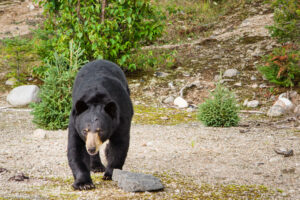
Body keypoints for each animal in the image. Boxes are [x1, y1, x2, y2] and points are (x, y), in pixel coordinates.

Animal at [68, 59, 134, 191]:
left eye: (100, 130)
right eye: (85, 130)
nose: (91, 148)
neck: (97, 99)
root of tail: (100, 60)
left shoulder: (121, 117)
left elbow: (119, 144)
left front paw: (110, 173)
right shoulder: (75, 122)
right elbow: (76, 149)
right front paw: (84, 183)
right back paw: (96, 165)